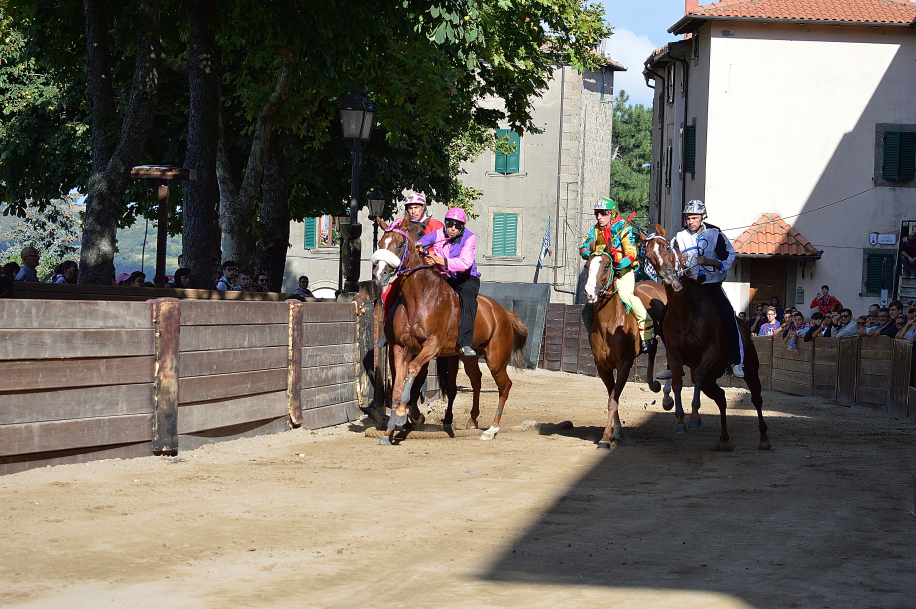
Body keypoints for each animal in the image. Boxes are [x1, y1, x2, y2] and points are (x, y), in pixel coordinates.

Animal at [372, 216, 528, 444]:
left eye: (400, 245)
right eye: (380, 243)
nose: (380, 273)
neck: (419, 298)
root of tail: (503, 313)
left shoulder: (431, 346)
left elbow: (413, 371)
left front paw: (402, 415)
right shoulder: (400, 348)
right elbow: (398, 385)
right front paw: (389, 430)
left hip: (496, 359)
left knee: (504, 386)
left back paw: (492, 429)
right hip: (468, 356)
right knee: (477, 380)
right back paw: (472, 420)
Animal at [584, 249, 668, 448]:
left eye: (607, 265)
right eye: (586, 265)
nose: (590, 293)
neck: (609, 324)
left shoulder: (624, 364)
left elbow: (613, 400)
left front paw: (605, 438)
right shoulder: (603, 367)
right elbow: (611, 397)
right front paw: (615, 431)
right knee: (652, 349)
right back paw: (653, 384)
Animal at [644, 226, 772, 448]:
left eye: (668, 247)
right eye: (649, 256)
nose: (670, 278)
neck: (687, 312)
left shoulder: (710, 351)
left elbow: (697, 376)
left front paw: (695, 417)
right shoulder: (674, 355)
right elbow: (677, 382)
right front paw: (680, 420)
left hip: (750, 369)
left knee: (756, 398)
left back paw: (764, 438)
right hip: (713, 379)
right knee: (721, 397)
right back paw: (723, 439)